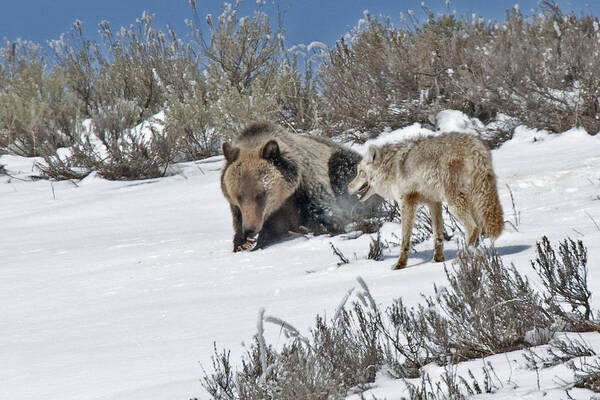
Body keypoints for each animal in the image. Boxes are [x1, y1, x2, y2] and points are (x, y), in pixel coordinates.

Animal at [220, 122, 360, 252]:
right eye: (239, 196)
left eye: (260, 194)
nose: (250, 229)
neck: (282, 200)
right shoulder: (241, 212)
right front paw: (244, 243)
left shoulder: (306, 191)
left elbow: (325, 215)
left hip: (341, 162)